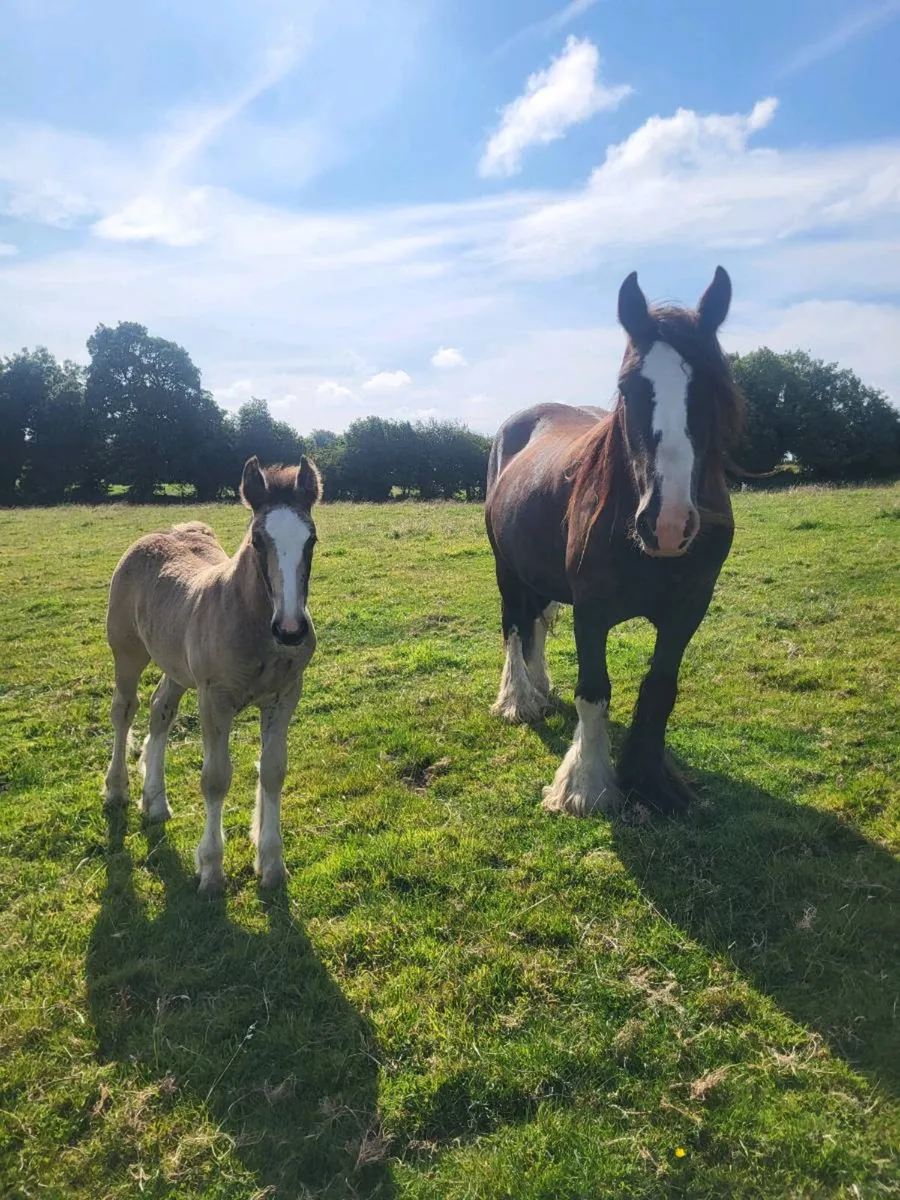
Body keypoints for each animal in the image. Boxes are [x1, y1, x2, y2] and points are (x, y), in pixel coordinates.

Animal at [104, 455, 321, 893]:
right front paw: (211, 868)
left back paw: (156, 801)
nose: (290, 629)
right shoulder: (214, 699)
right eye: (258, 541)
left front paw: (271, 864)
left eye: (311, 540)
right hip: (128, 653)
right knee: (125, 709)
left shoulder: (285, 695)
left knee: (160, 710)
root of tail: (156, 534)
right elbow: (216, 778)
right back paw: (117, 790)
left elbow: (273, 771)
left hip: (175, 665)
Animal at [485, 267, 742, 817]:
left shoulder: (689, 608)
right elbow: (594, 691)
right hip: (507, 569)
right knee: (515, 625)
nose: (667, 523)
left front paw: (651, 779)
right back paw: (519, 700)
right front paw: (585, 784)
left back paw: (540, 687)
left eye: (713, 383)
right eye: (629, 387)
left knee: (535, 622)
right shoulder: (592, 609)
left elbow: (660, 688)